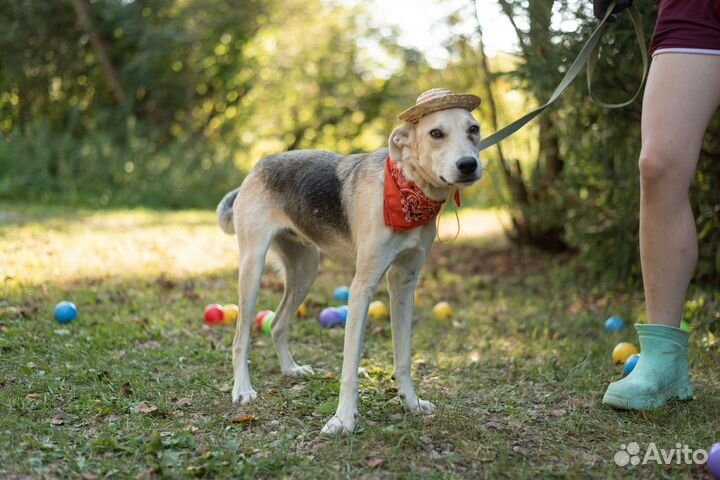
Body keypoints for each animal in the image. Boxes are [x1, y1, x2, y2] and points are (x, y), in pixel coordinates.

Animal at [215, 87, 484, 436]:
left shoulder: (404, 283)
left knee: (276, 323)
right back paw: (242, 389)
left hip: (305, 270)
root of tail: (258, 166)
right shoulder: (362, 288)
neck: (407, 187)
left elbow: (403, 358)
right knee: (240, 338)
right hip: (252, 269)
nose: (468, 165)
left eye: (473, 129)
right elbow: (349, 368)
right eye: (436, 133)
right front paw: (343, 420)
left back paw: (291, 369)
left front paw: (410, 403)